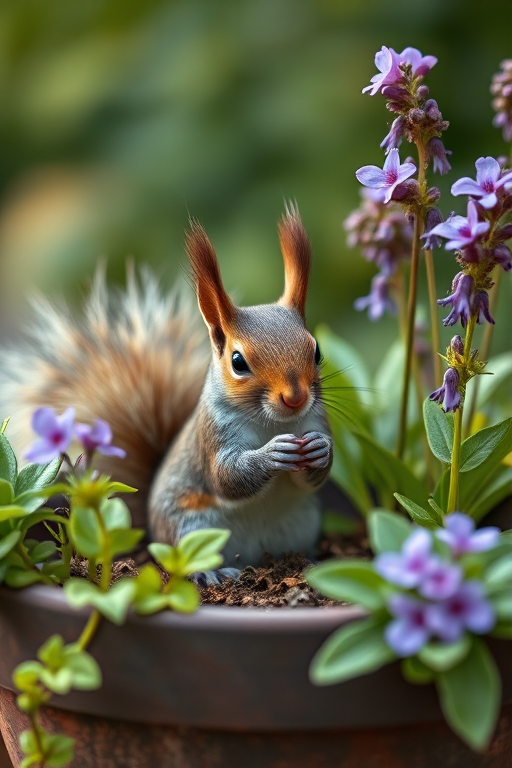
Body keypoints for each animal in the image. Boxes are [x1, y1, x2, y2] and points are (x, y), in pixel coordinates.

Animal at [1, 205, 333, 583]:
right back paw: (212, 573)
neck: (273, 422)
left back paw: (308, 562)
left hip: (303, 522)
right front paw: (272, 454)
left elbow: (314, 477)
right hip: (190, 525)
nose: (295, 398)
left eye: (317, 351)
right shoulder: (213, 436)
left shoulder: (316, 418)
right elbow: (227, 477)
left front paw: (321, 449)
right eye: (238, 362)